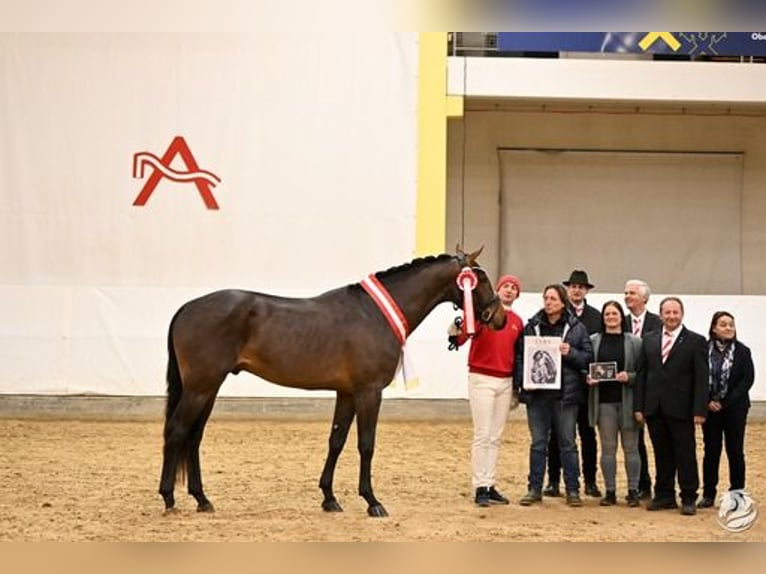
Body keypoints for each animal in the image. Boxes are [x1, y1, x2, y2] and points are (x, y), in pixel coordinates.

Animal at [159, 248, 508, 516]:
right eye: (481, 279)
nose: (500, 318)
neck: (374, 315)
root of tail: (187, 307)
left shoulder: (347, 393)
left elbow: (336, 441)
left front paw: (329, 498)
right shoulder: (369, 392)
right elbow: (366, 444)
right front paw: (372, 502)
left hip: (208, 388)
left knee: (194, 437)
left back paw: (202, 499)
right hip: (200, 388)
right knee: (177, 431)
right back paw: (169, 498)